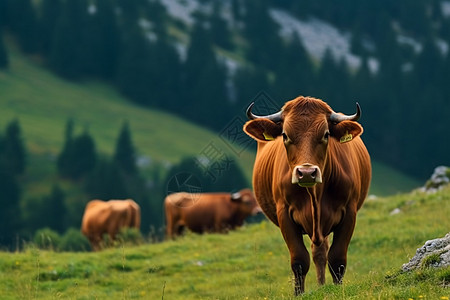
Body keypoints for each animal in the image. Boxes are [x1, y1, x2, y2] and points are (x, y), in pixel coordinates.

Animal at [244, 96, 370, 296]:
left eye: (326, 134)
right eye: (285, 135)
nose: (307, 173)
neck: (314, 195)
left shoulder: (350, 212)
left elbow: (337, 259)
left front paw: (337, 290)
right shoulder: (284, 213)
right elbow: (299, 261)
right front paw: (299, 294)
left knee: (321, 252)